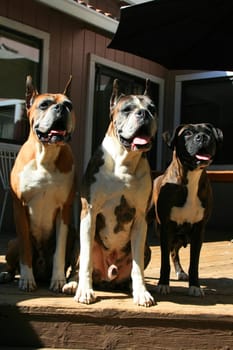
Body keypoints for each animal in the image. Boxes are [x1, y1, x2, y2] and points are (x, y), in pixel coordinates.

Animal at [0, 76, 75, 292]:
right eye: (44, 104)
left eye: (69, 105)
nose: (61, 108)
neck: (46, 153)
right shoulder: (20, 207)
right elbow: (26, 249)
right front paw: (26, 279)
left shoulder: (64, 210)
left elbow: (59, 250)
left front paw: (58, 279)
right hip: (12, 242)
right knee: (13, 261)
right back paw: (7, 275)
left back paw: (70, 282)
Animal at [62, 78, 157, 306]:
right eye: (127, 109)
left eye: (153, 109)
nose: (144, 114)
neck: (125, 161)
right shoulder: (89, 212)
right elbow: (86, 260)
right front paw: (84, 290)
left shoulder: (141, 219)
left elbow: (137, 266)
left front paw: (141, 292)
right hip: (77, 240)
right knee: (78, 264)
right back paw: (73, 284)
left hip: (147, 248)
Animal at [154, 122, 223, 296]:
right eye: (187, 133)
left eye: (208, 132)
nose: (202, 137)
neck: (191, 176)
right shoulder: (166, 228)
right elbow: (164, 261)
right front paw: (163, 284)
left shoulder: (199, 231)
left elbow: (194, 263)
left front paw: (195, 286)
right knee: (170, 252)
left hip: (180, 236)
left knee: (174, 253)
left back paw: (180, 272)